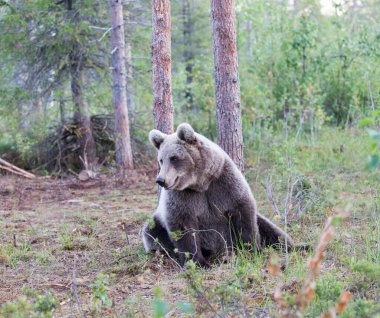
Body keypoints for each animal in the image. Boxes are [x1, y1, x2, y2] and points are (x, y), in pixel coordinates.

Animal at [142, 123, 294, 268]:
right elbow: (182, 225)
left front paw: (252, 250)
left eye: (174, 158)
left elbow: (244, 213)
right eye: (161, 160)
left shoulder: (223, 183)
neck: (201, 183)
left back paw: (293, 246)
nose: (161, 180)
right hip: (158, 223)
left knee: (270, 229)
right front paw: (199, 263)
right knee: (152, 231)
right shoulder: (183, 196)